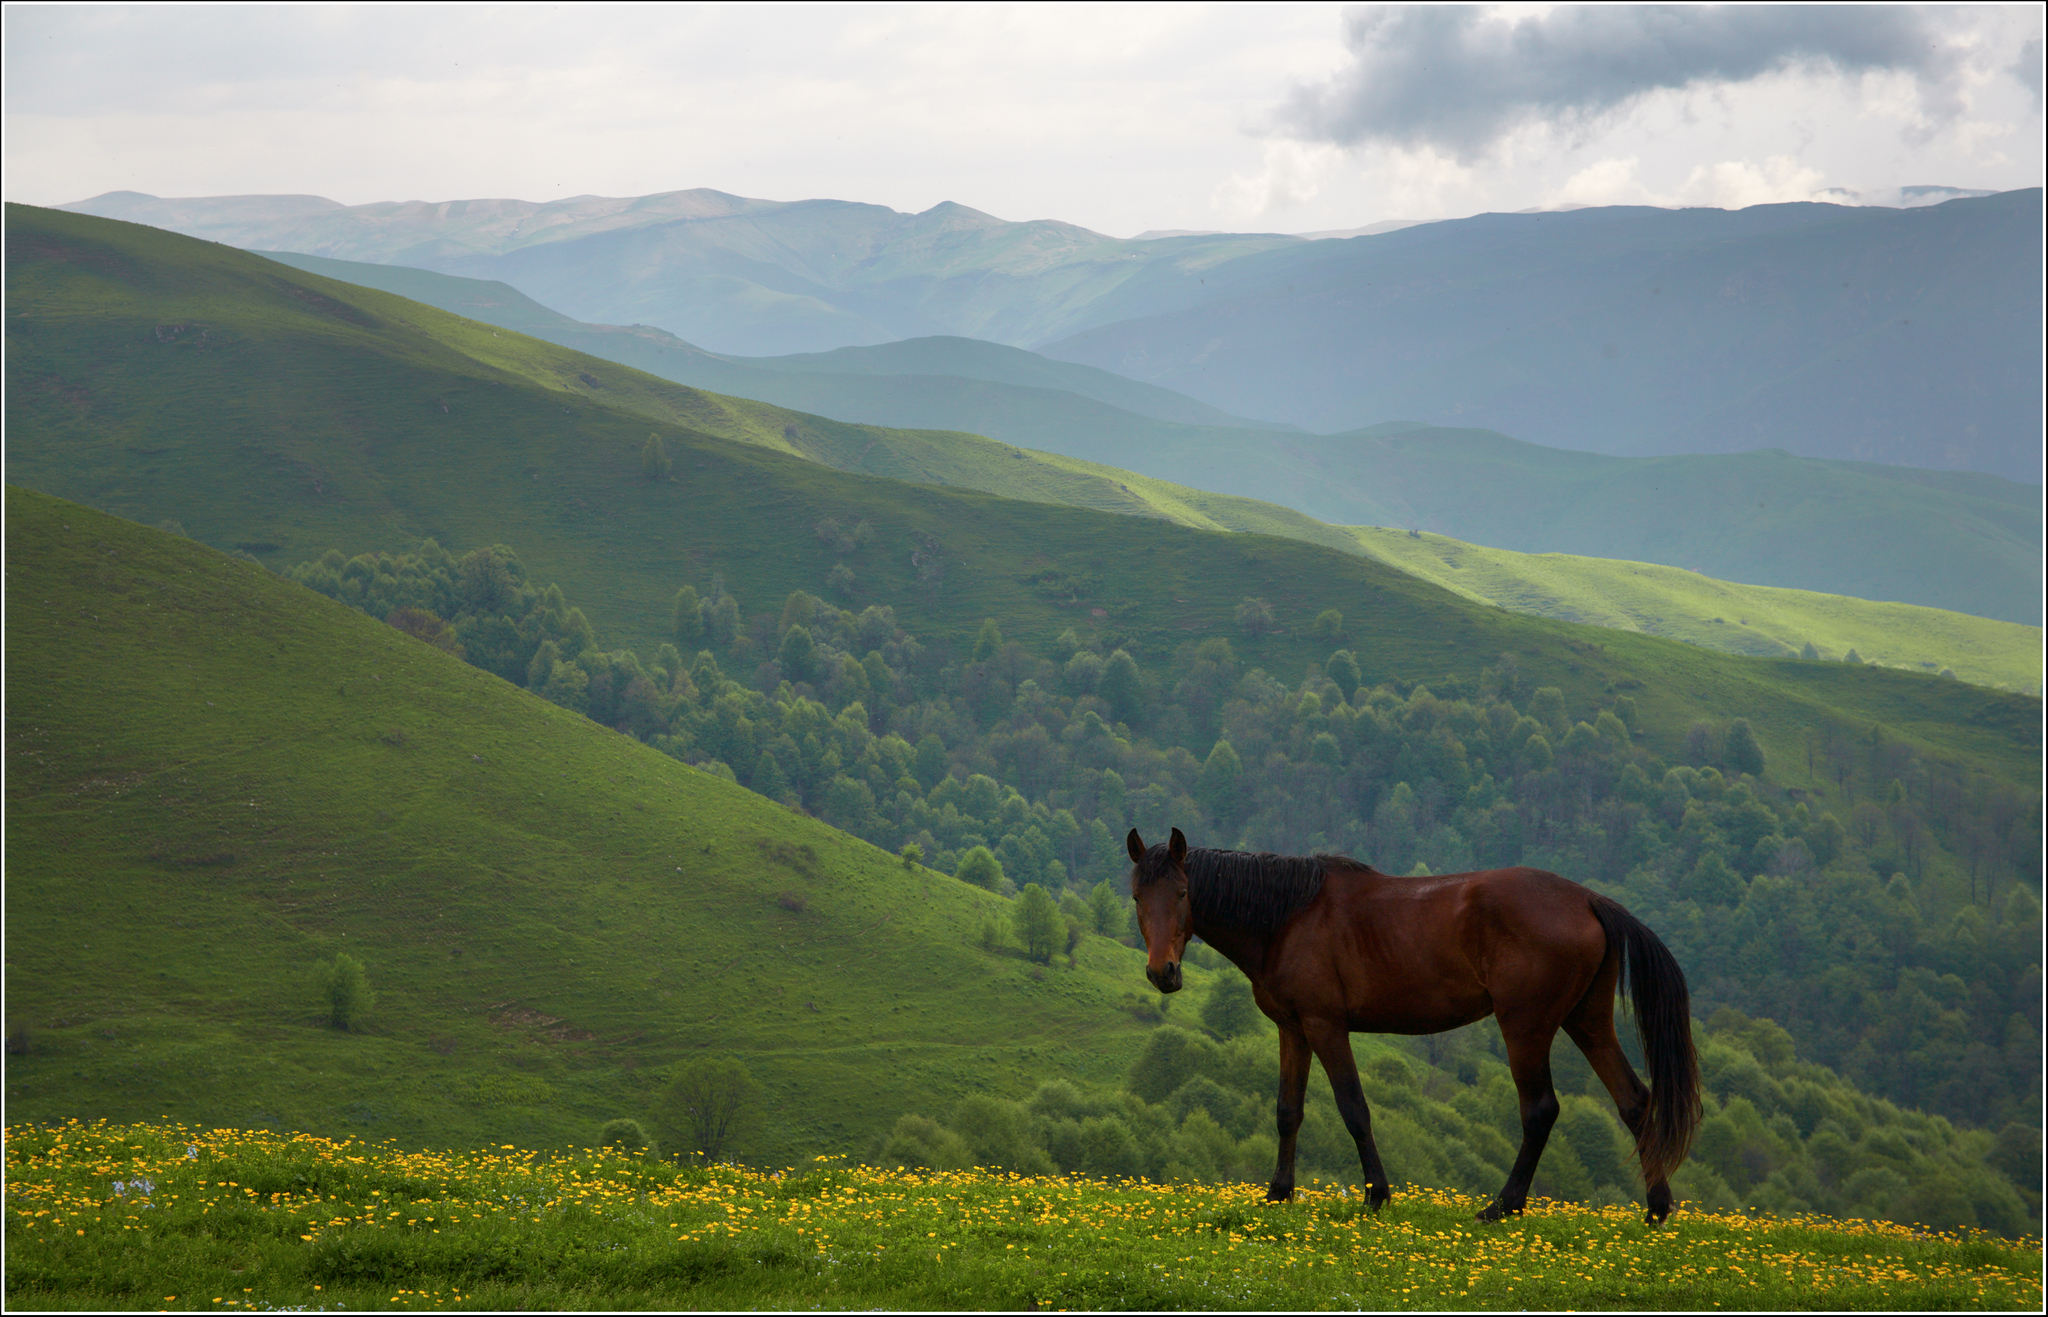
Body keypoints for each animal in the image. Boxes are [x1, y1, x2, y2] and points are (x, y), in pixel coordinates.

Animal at [1130, 835, 1703, 1228]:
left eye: (1182, 892)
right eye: (1137, 896)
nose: (1162, 973)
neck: (1287, 918)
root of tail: (1587, 899)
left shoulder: (1326, 1027)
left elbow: (1354, 1110)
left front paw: (1376, 1195)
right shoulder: (1292, 1030)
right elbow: (1287, 1112)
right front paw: (1277, 1194)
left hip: (1526, 1025)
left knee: (1540, 1110)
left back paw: (1502, 1206)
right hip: (1586, 1020)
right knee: (1634, 1101)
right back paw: (1656, 1209)